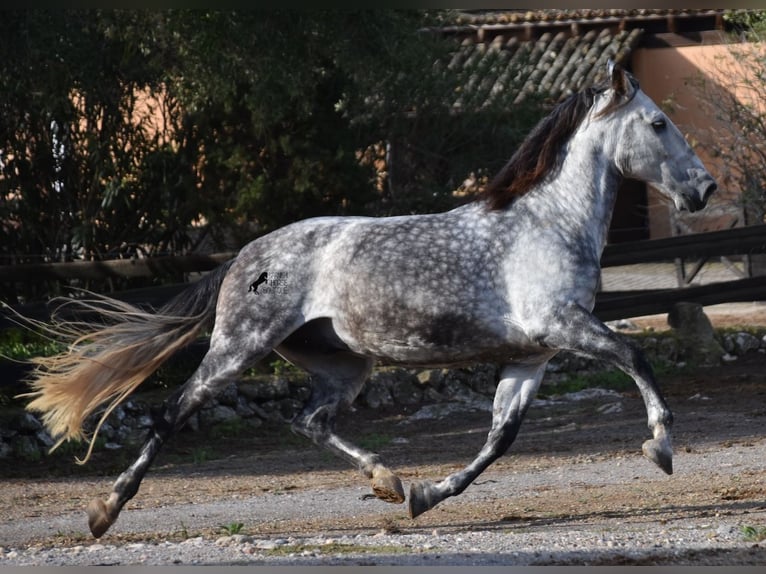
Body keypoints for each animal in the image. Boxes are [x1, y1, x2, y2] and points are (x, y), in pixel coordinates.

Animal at [24, 63, 720, 540]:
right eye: (658, 123)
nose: (705, 188)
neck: (548, 222)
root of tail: (245, 256)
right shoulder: (565, 326)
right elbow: (635, 357)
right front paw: (660, 448)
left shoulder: (533, 355)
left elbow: (500, 437)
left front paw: (427, 495)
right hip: (238, 347)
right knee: (170, 413)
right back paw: (103, 511)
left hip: (344, 364)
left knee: (310, 421)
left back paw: (388, 482)